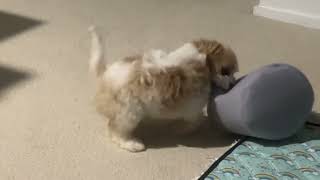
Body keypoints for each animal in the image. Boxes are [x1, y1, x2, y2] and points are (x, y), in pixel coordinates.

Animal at [87, 27, 238, 152]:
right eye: (227, 72)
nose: (234, 83)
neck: (201, 58)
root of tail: (105, 74)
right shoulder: (192, 107)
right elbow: (195, 120)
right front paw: (181, 129)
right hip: (129, 112)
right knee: (115, 131)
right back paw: (132, 144)